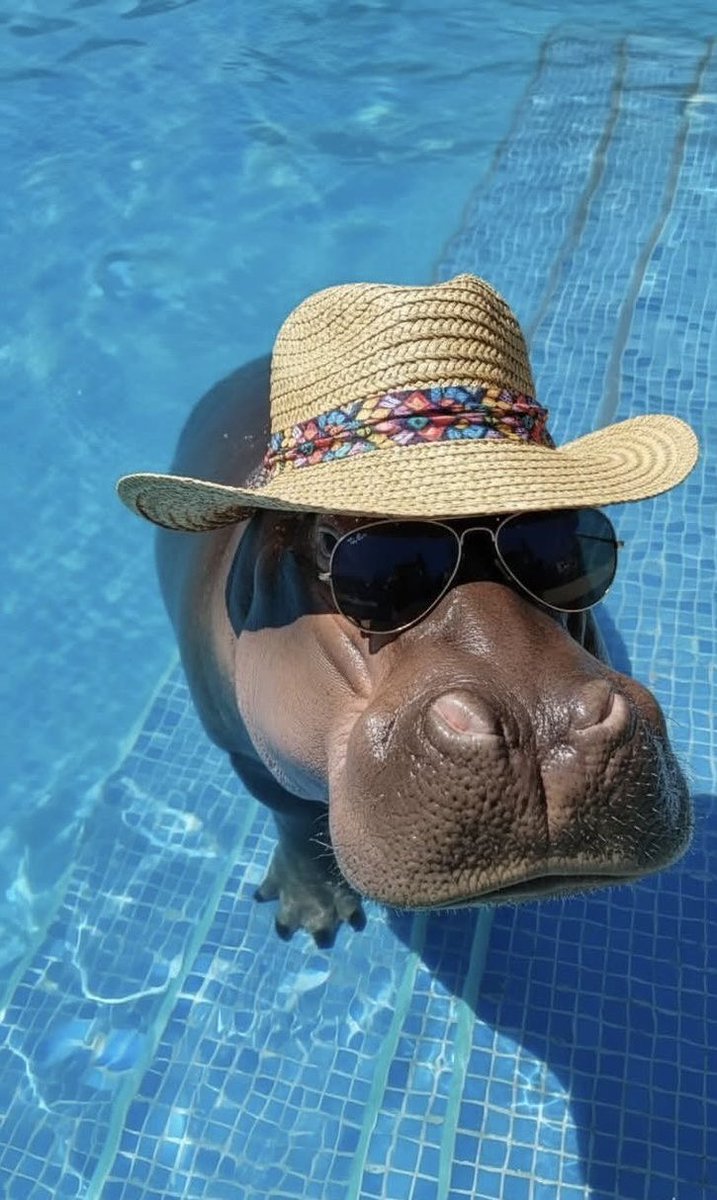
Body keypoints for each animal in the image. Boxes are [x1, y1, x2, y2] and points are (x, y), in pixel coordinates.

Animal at [118, 275, 698, 945]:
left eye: (570, 533)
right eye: (331, 541)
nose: (545, 726)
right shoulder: (244, 751)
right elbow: (289, 814)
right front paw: (313, 910)